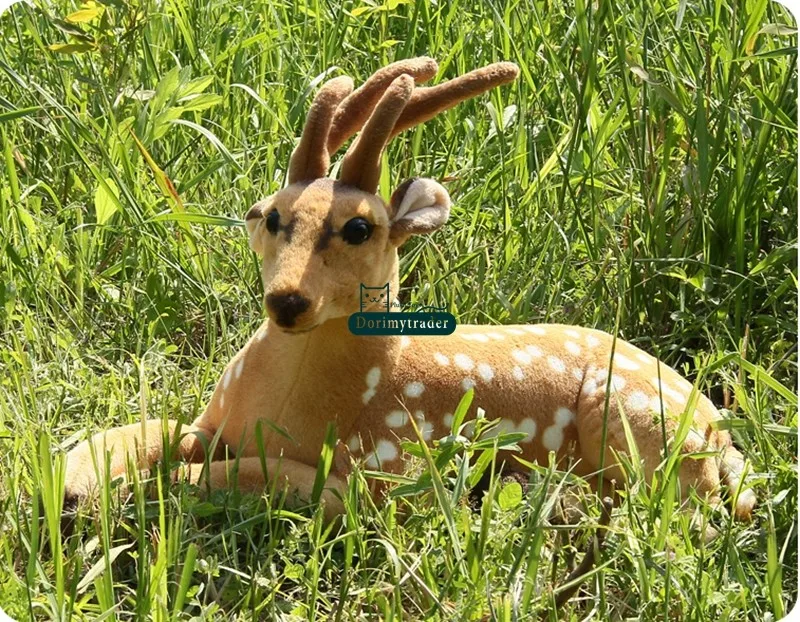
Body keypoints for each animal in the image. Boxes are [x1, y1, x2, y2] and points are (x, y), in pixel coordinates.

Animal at [63, 57, 756, 523]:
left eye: (359, 227)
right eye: (268, 215)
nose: (287, 301)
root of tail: (722, 433)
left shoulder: (380, 470)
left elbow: (234, 475)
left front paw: (130, 494)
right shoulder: (215, 419)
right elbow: (145, 431)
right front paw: (70, 478)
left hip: (635, 426)